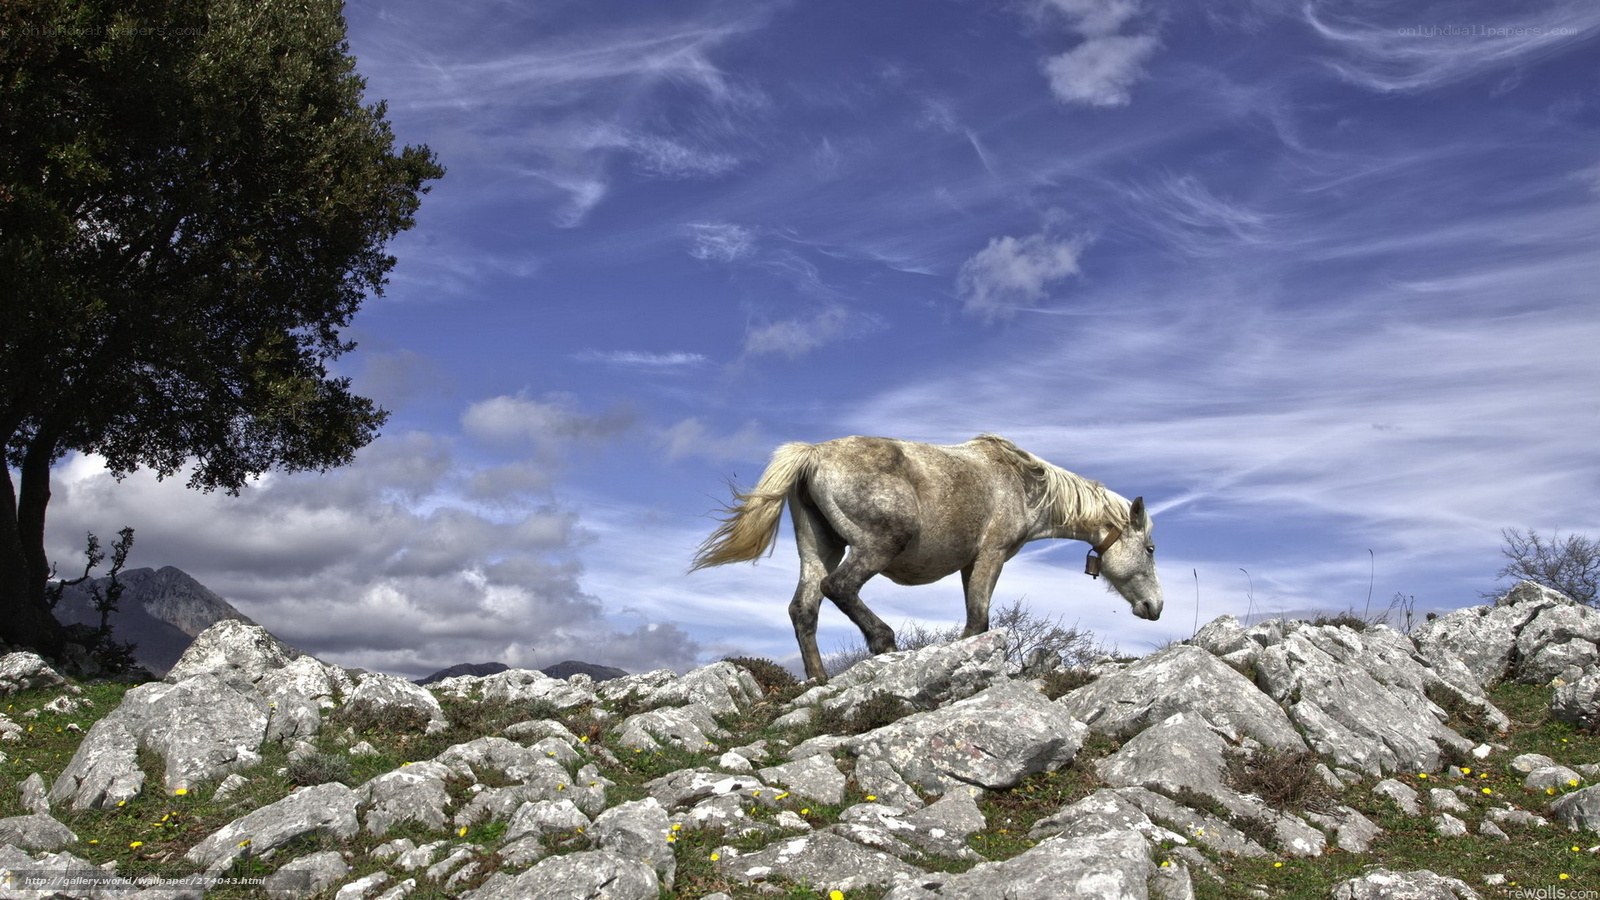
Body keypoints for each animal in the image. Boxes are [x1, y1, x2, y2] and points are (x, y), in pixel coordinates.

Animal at [691, 434, 1164, 681]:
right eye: (1151, 548)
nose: (1155, 607)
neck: (1024, 484)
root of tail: (814, 454)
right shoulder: (990, 557)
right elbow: (978, 622)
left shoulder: (969, 564)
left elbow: (976, 620)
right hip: (878, 545)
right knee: (839, 587)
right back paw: (884, 643)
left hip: (820, 547)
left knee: (804, 608)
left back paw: (819, 680)